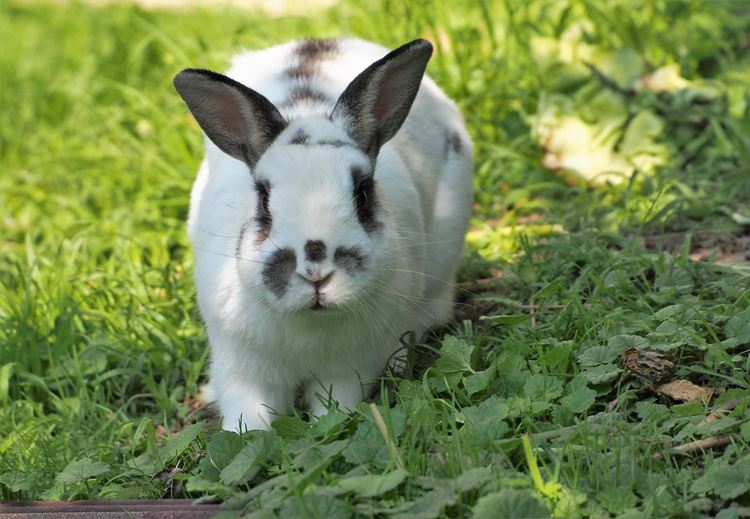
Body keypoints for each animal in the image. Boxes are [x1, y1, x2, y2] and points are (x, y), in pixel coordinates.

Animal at [173, 38, 473, 432]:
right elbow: (248, 419)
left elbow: (335, 407)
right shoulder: (243, 369)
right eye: (263, 198)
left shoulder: (347, 370)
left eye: (363, 193)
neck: (311, 324)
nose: (315, 271)